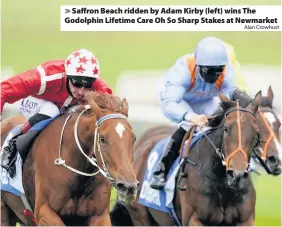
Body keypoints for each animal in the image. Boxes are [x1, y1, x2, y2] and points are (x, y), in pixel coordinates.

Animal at [111, 92, 264, 225]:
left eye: (256, 132)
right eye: (226, 129)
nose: (237, 175)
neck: (223, 185)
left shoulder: (245, 220)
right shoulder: (195, 219)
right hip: (140, 216)